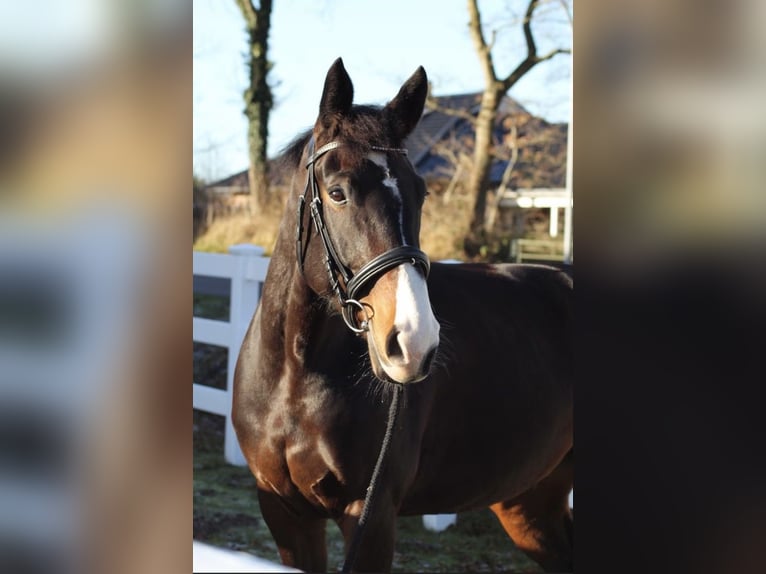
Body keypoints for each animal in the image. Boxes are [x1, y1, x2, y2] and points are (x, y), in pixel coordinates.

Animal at [233, 58, 573, 573]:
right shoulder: (284, 512)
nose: (414, 342)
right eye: (337, 193)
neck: (295, 375)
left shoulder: (371, 516)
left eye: (421, 192)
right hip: (532, 502)